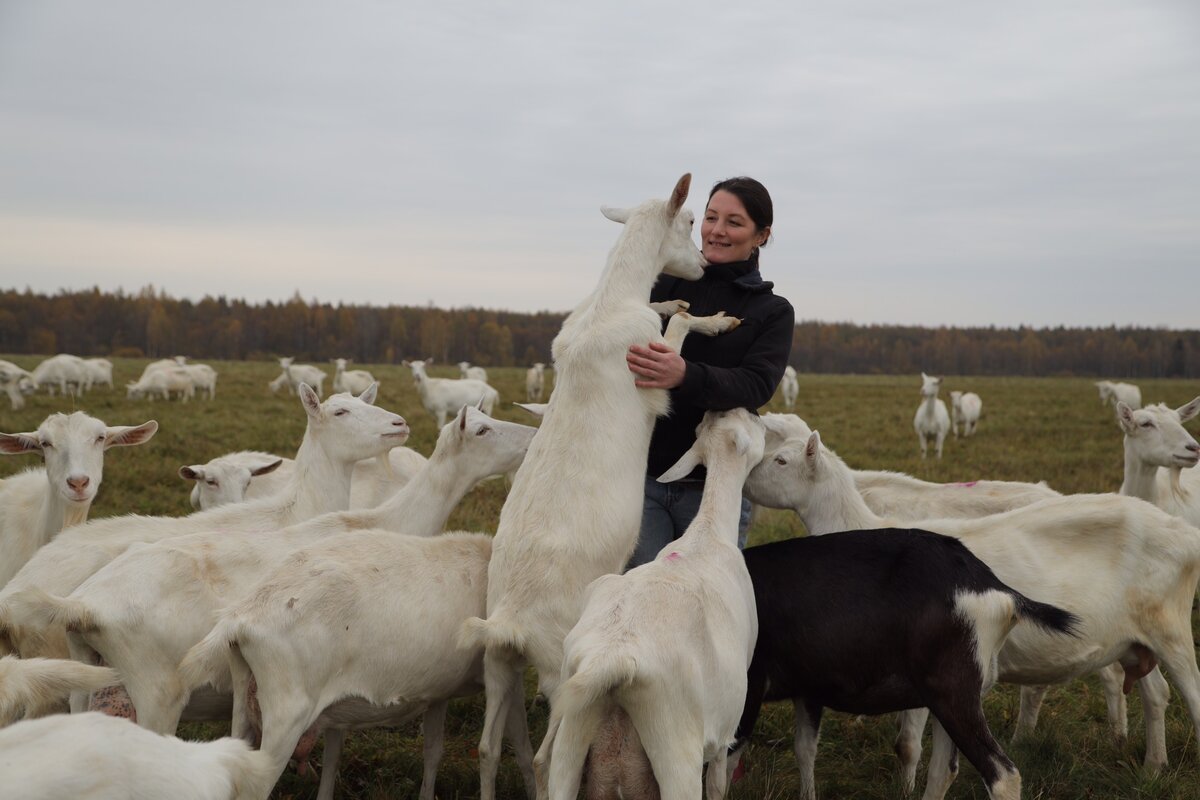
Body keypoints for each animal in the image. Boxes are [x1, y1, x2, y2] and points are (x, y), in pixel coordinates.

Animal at [744, 431, 1200, 800]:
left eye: (781, 460)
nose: (745, 479)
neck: (859, 525)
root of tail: (1182, 532)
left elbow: (908, 746)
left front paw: (905, 788)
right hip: (1134, 639)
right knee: (1155, 693)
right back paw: (1151, 767)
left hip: (1173, 630)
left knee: (1191, 696)